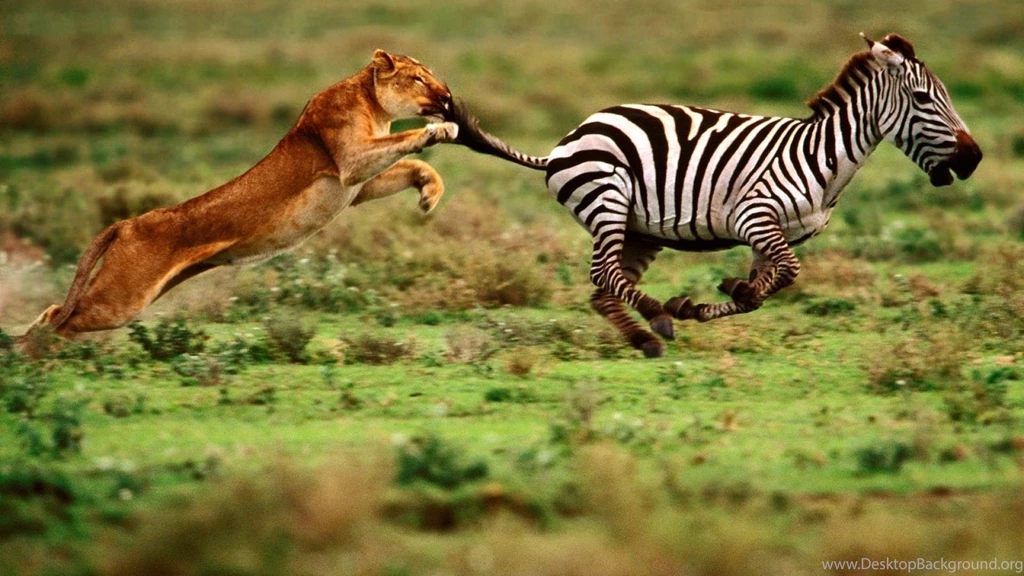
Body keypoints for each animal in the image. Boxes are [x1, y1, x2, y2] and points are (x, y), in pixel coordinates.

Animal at [449, 33, 982, 358]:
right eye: (924, 99)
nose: (973, 159)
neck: (822, 157)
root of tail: (567, 140)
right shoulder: (755, 216)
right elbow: (788, 274)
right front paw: (702, 301)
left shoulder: (776, 235)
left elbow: (766, 289)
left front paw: (720, 296)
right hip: (607, 199)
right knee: (604, 274)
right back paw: (656, 317)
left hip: (639, 229)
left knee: (604, 288)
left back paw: (644, 338)